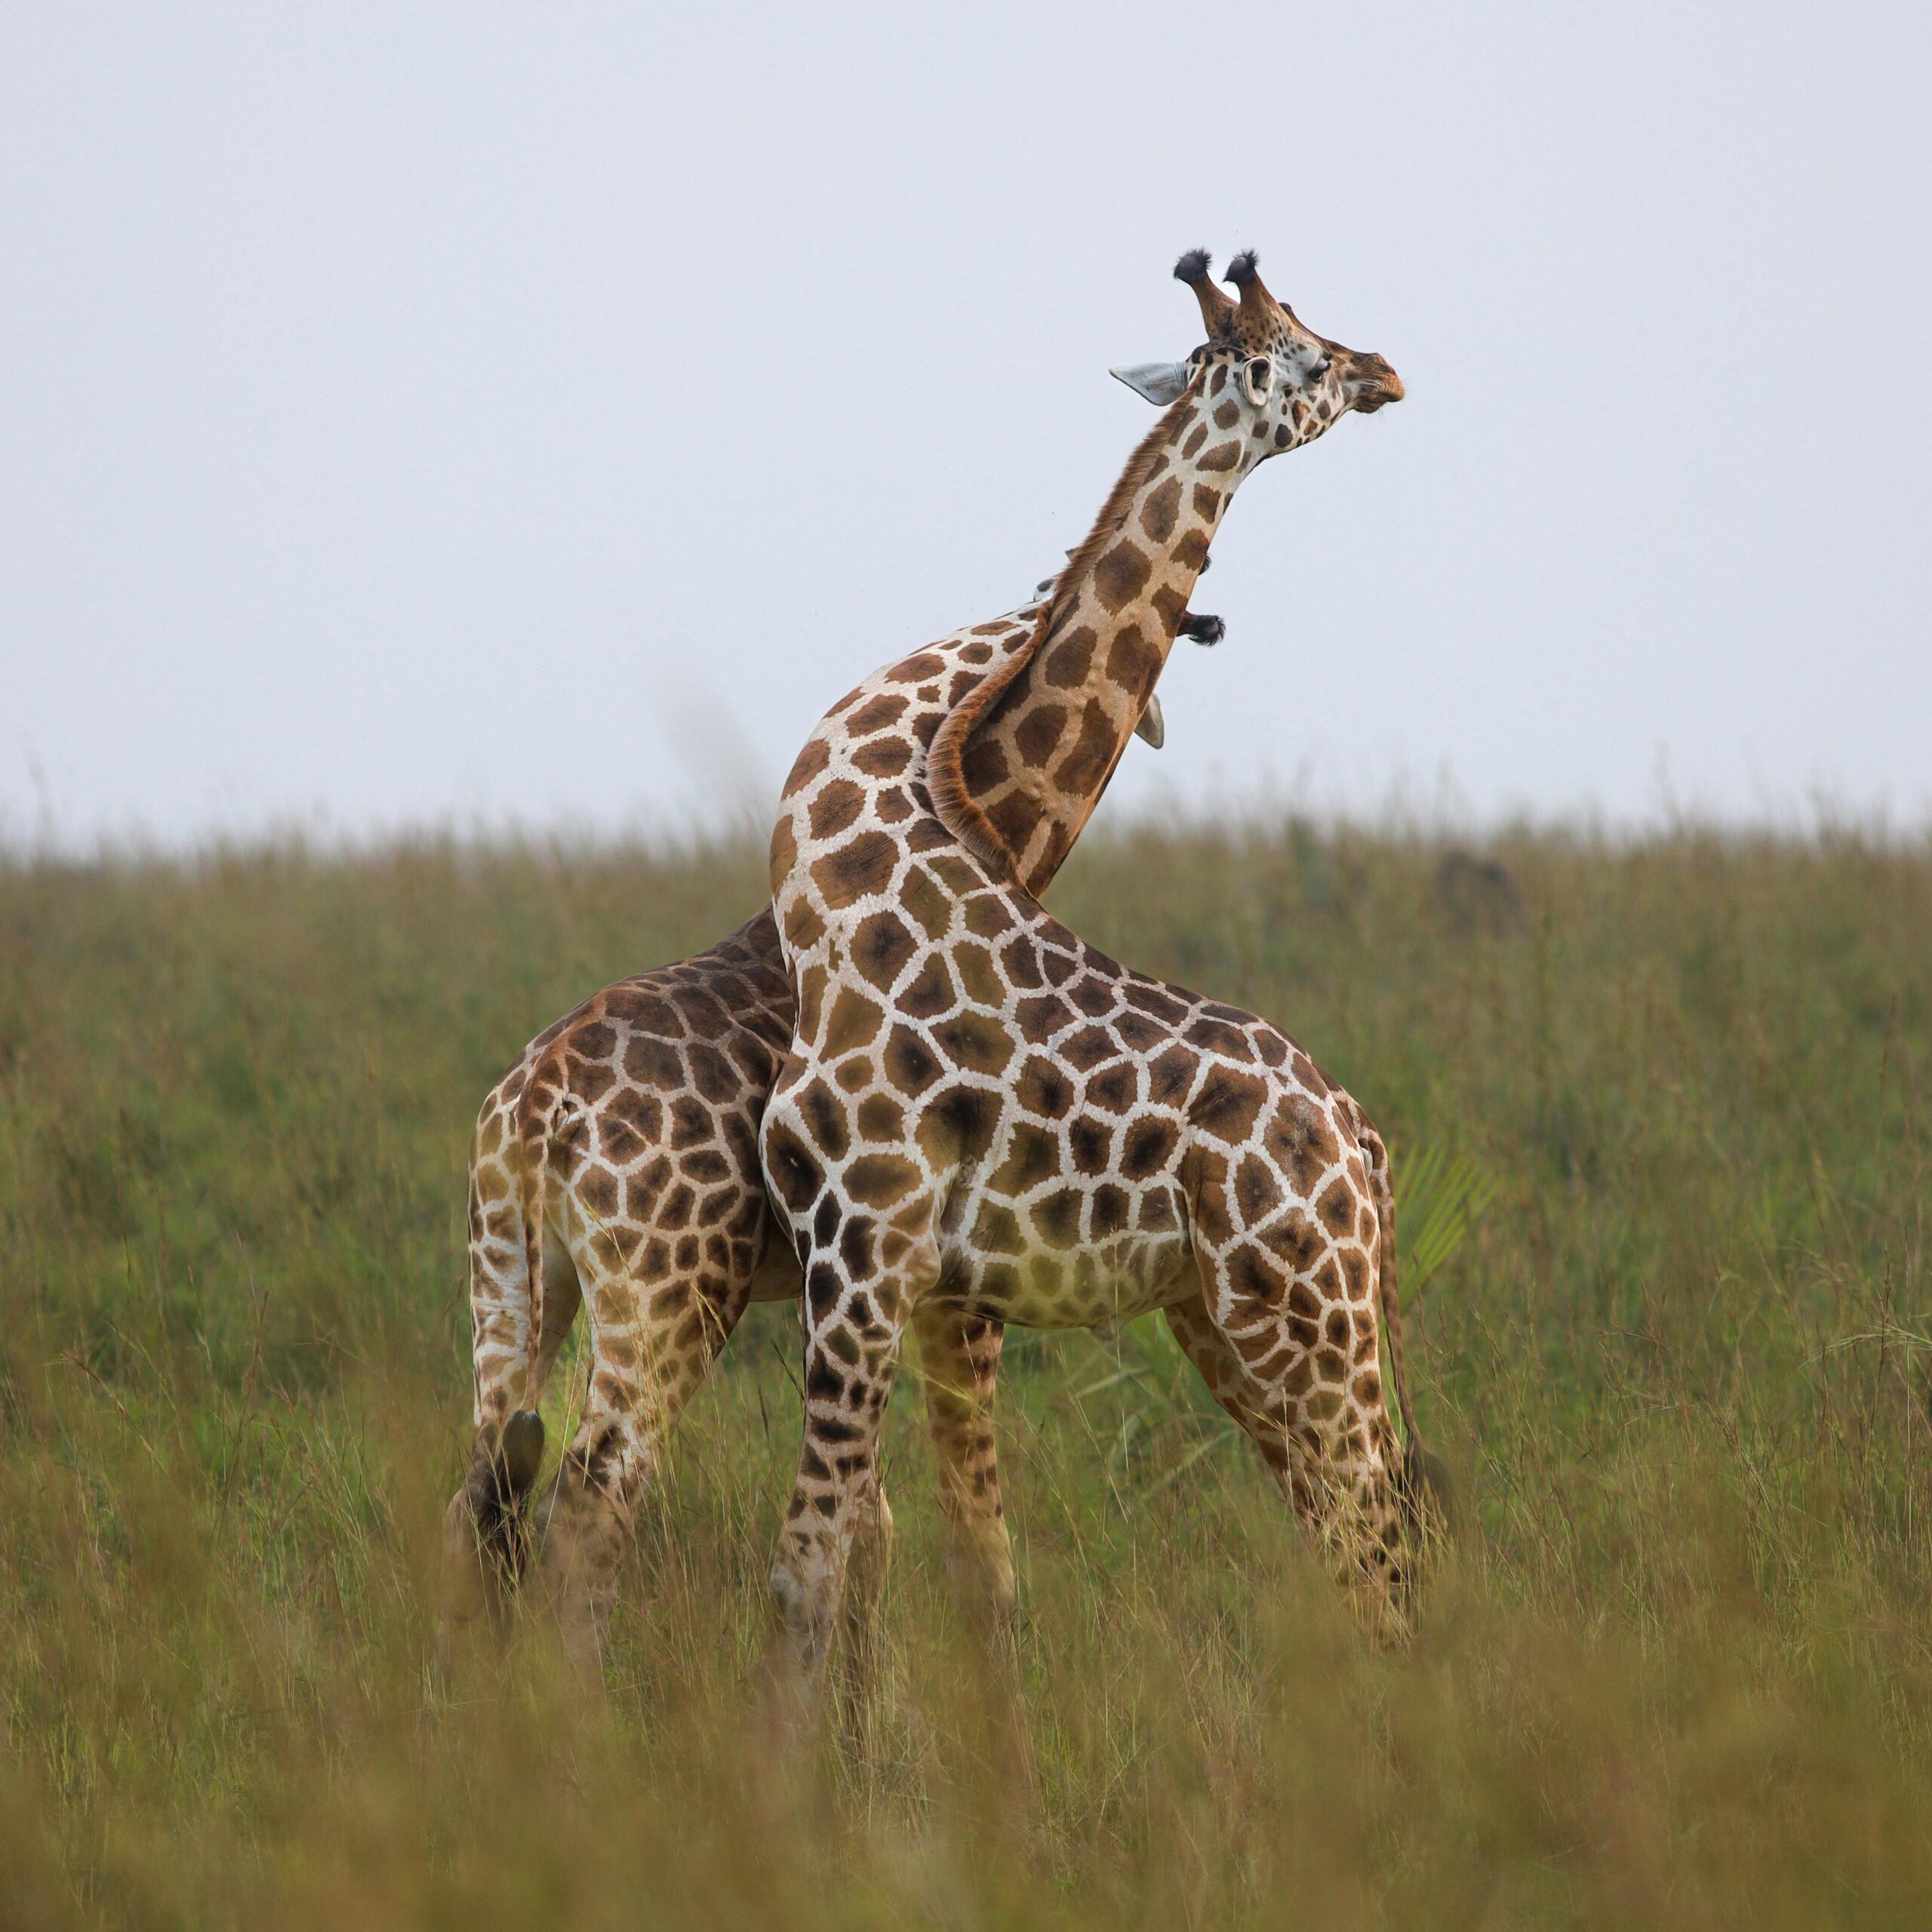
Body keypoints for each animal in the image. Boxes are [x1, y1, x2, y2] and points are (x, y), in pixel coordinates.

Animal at [443, 578, 1195, 1672]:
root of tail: (535, 1106)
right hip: (666, 1290)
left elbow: (867, 1524)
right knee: (592, 1492)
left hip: (514, 1271)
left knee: (483, 1481)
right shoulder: (932, 1281)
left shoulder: (831, 1276)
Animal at [757, 250, 1423, 1699]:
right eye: (1301, 352)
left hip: (1307, 1320)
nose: (1387, 371)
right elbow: (878, 1567)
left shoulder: (881, 1255)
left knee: (1380, 1556)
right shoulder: (877, 1268)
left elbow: (846, 1569)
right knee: (1365, 1552)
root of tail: (1363, 1148)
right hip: (1243, 1324)